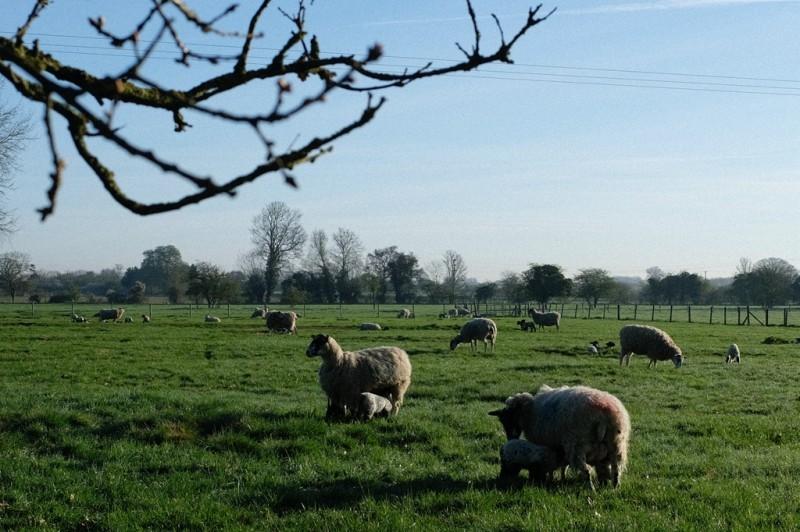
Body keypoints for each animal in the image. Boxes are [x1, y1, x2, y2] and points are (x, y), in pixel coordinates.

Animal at [488, 382, 632, 490]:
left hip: (576, 446)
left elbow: (552, 465)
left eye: (507, 419)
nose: (510, 438)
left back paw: (591, 488)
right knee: (616, 469)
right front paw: (561, 478)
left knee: (586, 471)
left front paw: (551, 479)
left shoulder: (547, 445)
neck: (528, 412)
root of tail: (604, 414)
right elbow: (563, 465)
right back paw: (614, 487)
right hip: (617, 445)